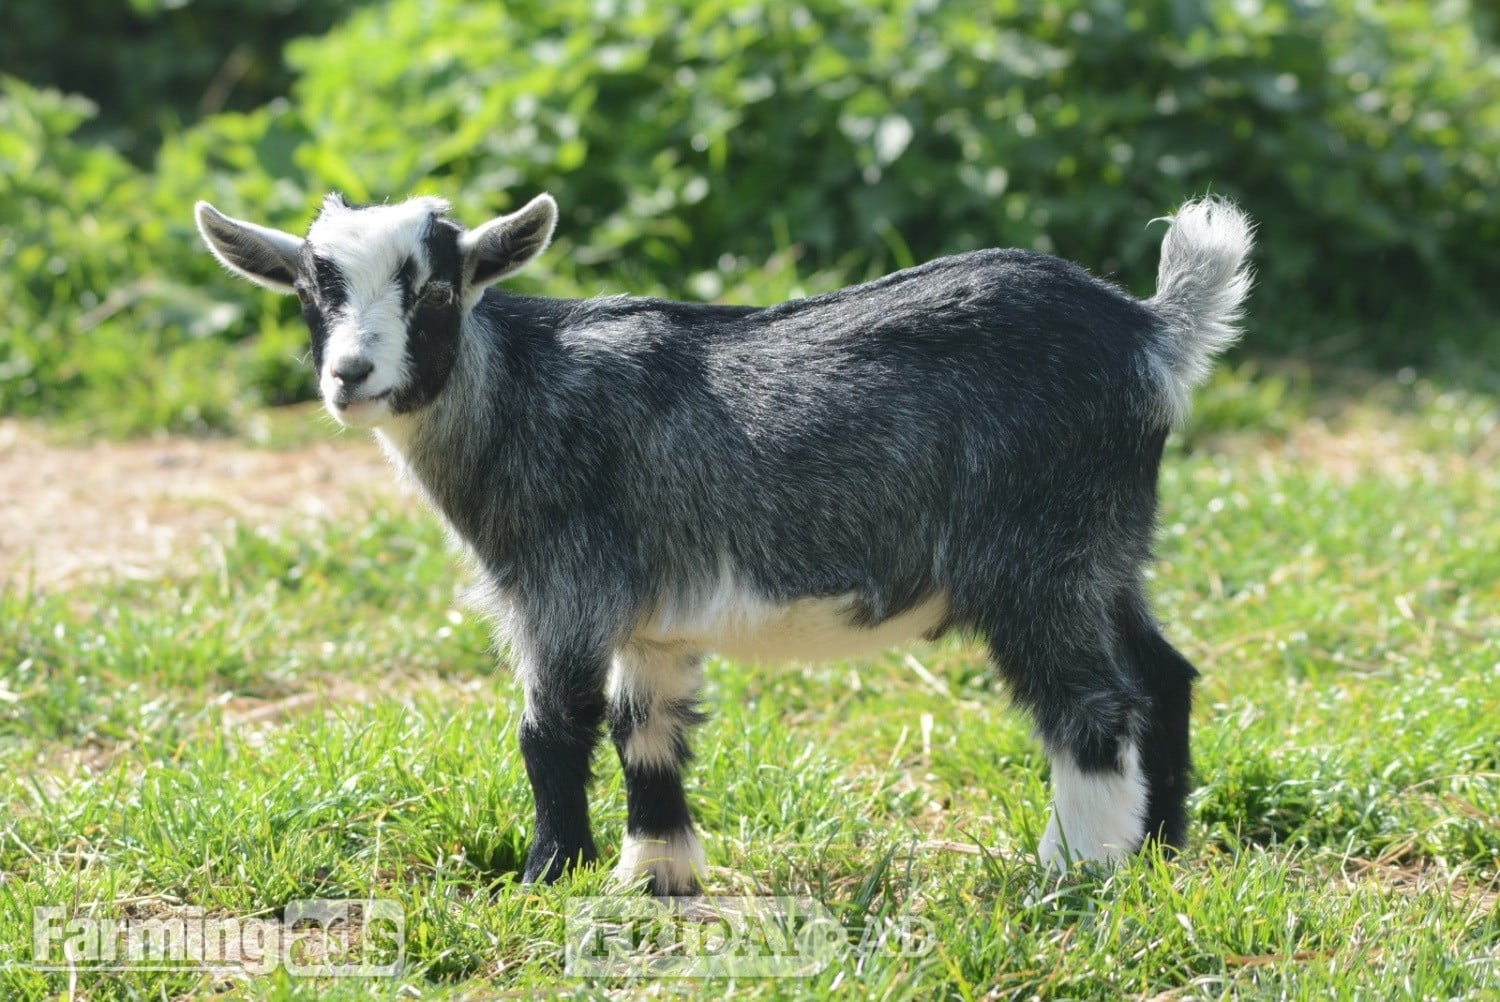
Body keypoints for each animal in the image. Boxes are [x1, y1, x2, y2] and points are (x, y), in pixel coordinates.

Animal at [195, 191, 1254, 894]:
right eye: (311, 290)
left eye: (438, 292)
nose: (351, 375)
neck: (525, 393)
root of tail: (1151, 332)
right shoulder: (651, 622)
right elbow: (646, 731)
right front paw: (654, 875)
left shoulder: (567, 590)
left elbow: (552, 730)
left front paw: (549, 877)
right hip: (1109, 552)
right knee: (1164, 675)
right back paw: (1162, 852)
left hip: (1038, 558)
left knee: (1092, 704)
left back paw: (1076, 868)